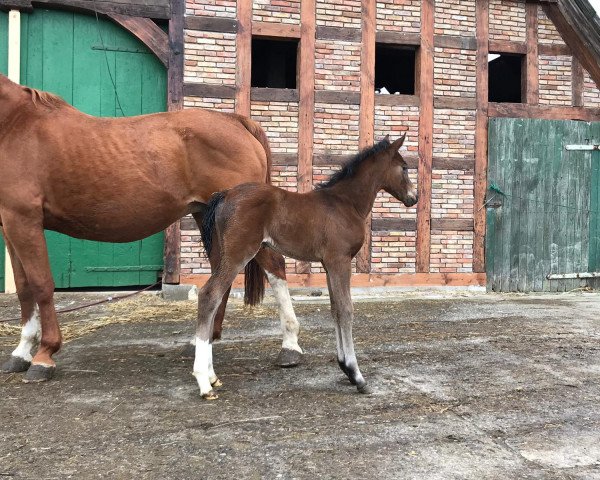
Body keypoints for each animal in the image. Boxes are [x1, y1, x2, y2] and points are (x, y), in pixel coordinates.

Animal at [196, 134, 418, 398]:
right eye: (404, 167)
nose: (414, 197)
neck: (345, 203)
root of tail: (225, 195)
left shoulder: (329, 264)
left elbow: (335, 309)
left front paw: (344, 366)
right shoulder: (340, 260)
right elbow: (346, 310)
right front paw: (356, 374)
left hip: (221, 255)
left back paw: (212, 376)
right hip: (238, 254)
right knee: (210, 295)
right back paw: (203, 382)